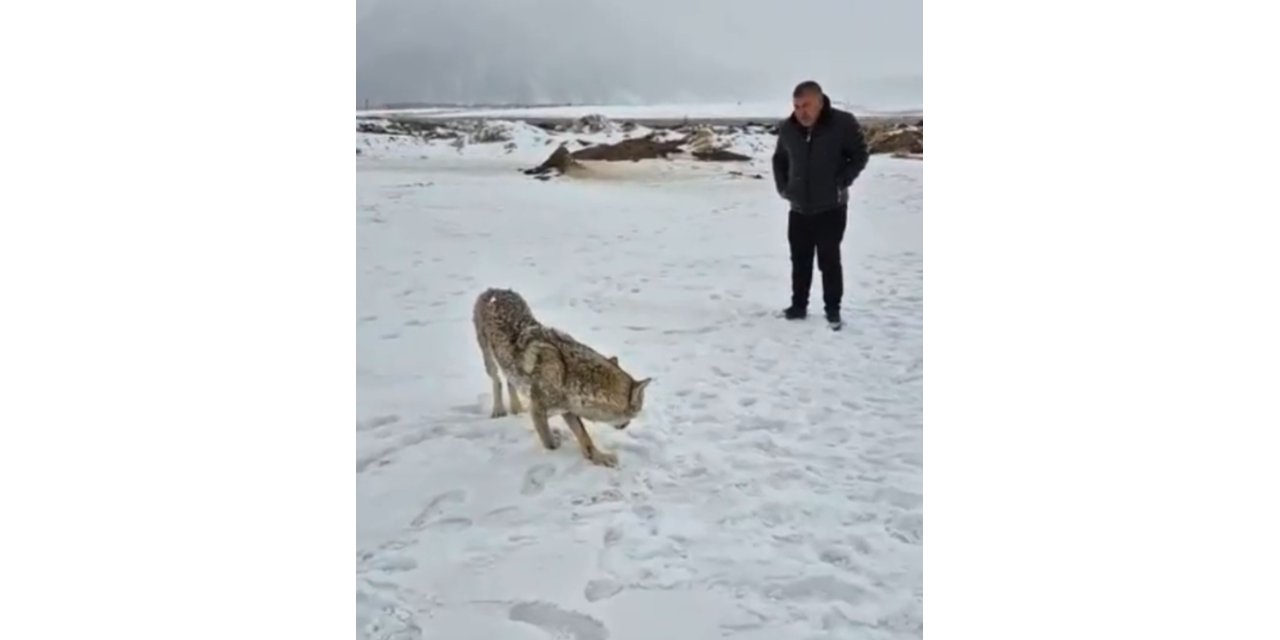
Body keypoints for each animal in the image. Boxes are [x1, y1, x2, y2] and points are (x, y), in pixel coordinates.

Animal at [471, 289, 650, 465]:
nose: (626, 425)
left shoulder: (567, 410)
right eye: (635, 413)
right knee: (497, 380)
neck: (568, 375)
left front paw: (599, 457)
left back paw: (516, 409)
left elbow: (585, 438)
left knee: (510, 382)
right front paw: (556, 449)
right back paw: (498, 410)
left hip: (508, 364)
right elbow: (549, 443)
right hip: (489, 360)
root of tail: (493, 290)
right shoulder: (537, 411)